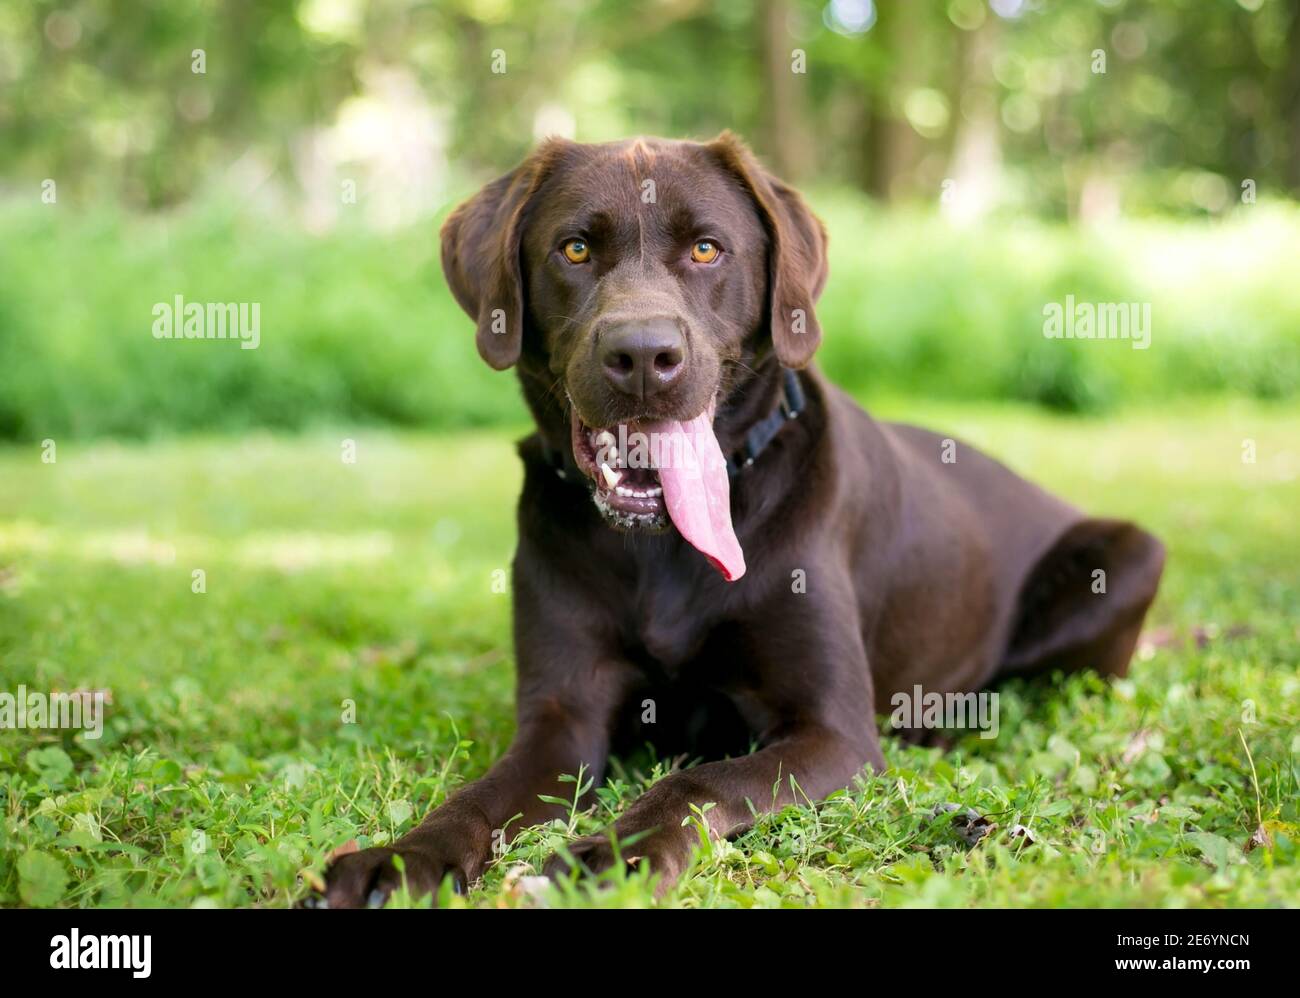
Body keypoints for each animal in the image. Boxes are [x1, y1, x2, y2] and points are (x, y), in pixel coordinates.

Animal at [317, 136, 1170, 909]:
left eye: (705, 249)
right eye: (575, 248)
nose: (642, 354)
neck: (661, 546)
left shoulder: (831, 732)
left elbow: (700, 779)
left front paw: (615, 853)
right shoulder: (561, 721)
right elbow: (477, 797)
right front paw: (401, 858)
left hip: (1133, 554)